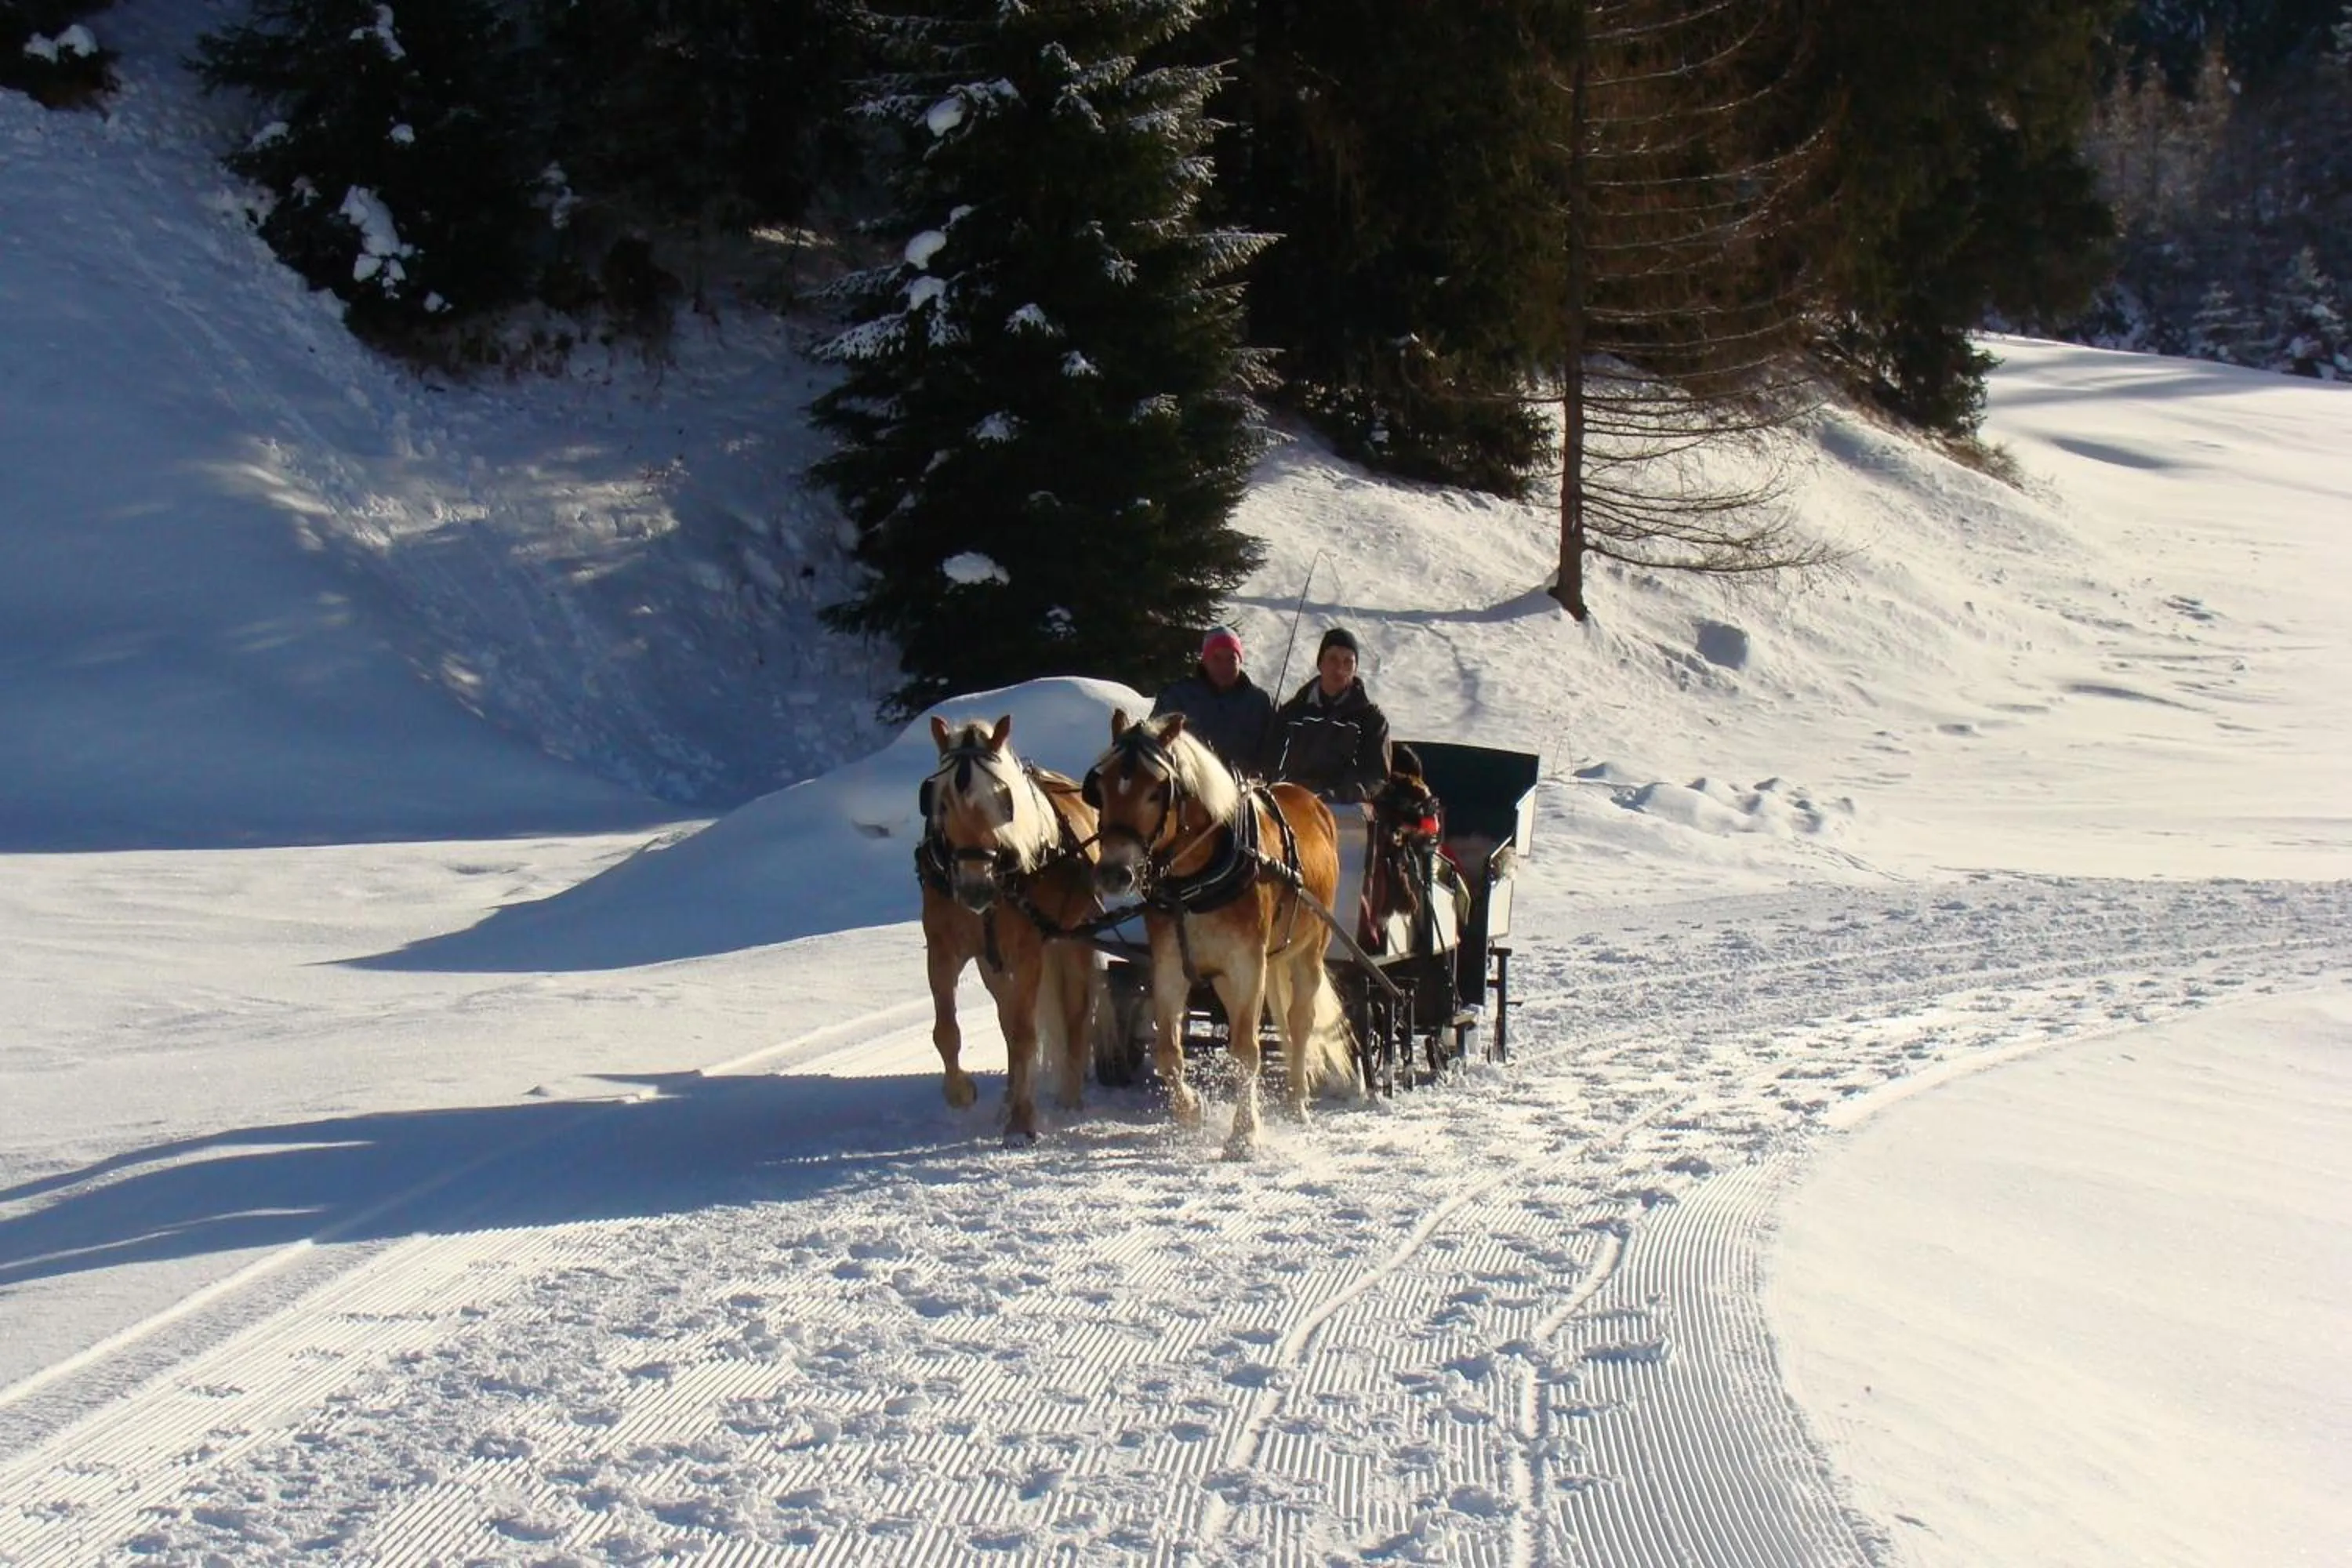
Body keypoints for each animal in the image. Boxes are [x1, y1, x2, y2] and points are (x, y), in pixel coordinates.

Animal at [916, 714, 1105, 1141]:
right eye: (939, 799)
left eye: (1004, 799)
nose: (975, 888)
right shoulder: (943, 949)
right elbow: (946, 1031)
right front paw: (961, 1093)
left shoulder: (1029, 952)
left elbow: (1024, 1034)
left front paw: (1022, 1121)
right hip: (993, 964)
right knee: (1006, 1017)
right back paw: (1007, 1100)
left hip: (1077, 939)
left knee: (1077, 1016)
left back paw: (1070, 1097)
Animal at [1084, 709, 1357, 1157]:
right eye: (1101, 788)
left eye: (1157, 791)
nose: (1114, 873)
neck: (1197, 879)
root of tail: (1311, 799)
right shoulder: (1170, 965)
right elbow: (1168, 1050)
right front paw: (1191, 1110)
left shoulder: (1248, 965)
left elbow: (1246, 1051)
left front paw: (1244, 1134)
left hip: (1309, 952)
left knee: (1299, 1022)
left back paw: (1298, 1101)